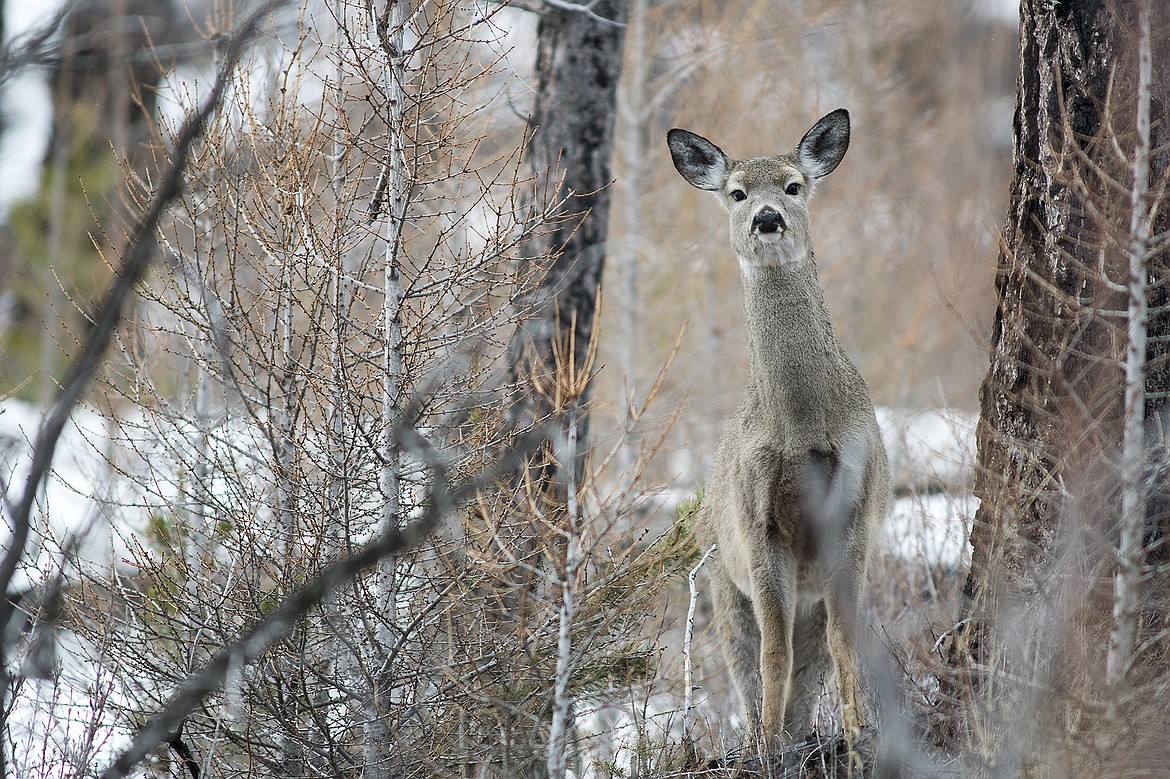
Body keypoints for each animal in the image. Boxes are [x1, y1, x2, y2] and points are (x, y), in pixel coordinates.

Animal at [669, 109, 884, 748]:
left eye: (794, 185)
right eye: (737, 193)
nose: (768, 217)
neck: (804, 421)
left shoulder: (856, 507)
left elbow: (843, 640)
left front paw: (858, 735)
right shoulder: (757, 522)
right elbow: (772, 652)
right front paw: (765, 748)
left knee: (811, 658)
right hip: (721, 580)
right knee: (747, 655)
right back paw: (767, 736)